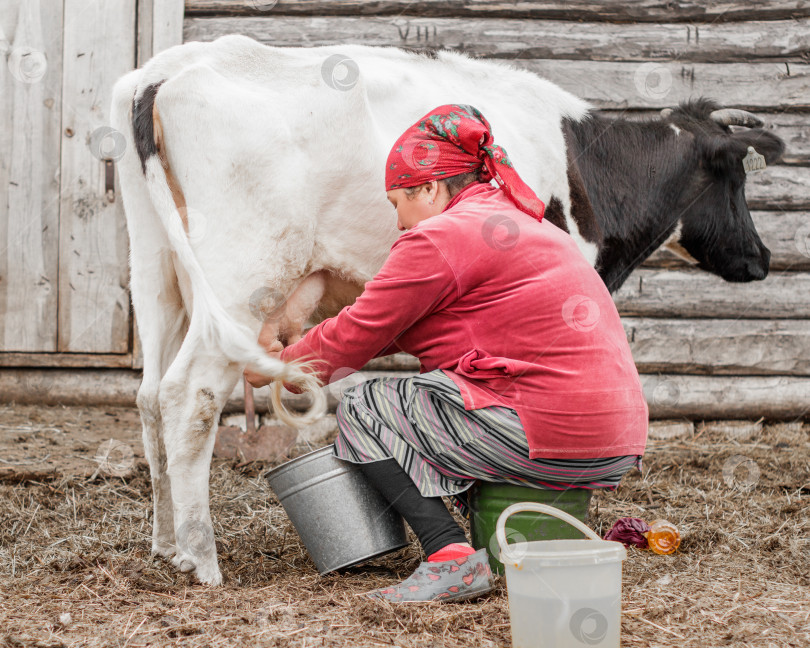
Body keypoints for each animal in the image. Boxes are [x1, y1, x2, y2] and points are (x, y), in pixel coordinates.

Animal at [109, 34, 784, 588]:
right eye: (737, 181)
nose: (762, 257)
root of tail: (167, 70)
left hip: (156, 265)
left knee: (148, 395)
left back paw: (166, 545)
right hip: (244, 269)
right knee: (190, 393)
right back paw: (202, 558)